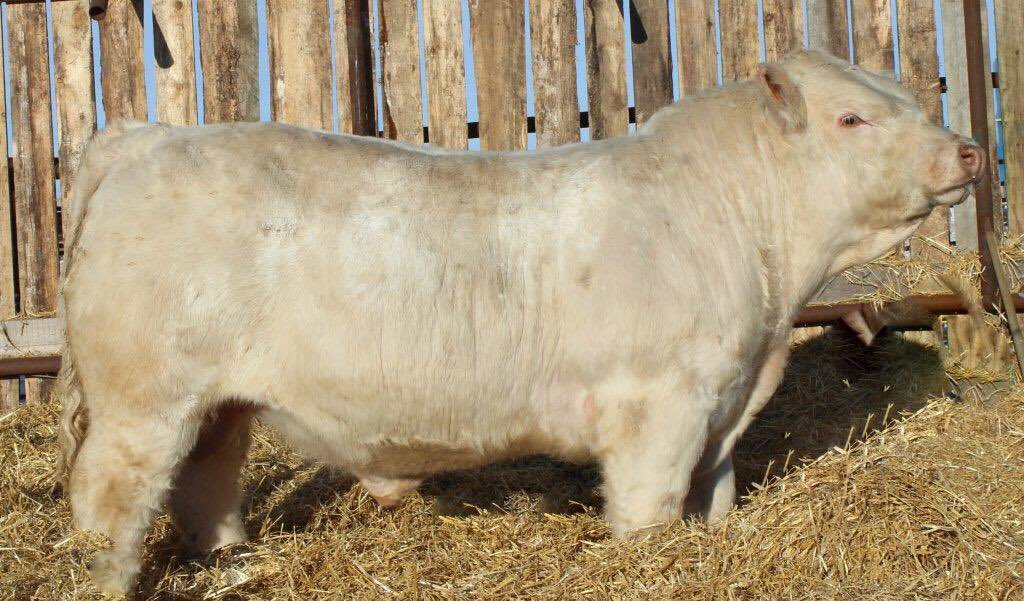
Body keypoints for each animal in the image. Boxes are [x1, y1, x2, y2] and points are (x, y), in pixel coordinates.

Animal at [56, 50, 983, 594]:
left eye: (910, 98)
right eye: (852, 117)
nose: (969, 149)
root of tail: (147, 135)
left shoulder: (722, 408)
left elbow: (710, 500)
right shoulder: (659, 406)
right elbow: (650, 510)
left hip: (214, 403)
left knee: (204, 484)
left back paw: (238, 562)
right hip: (144, 400)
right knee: (110, 497)